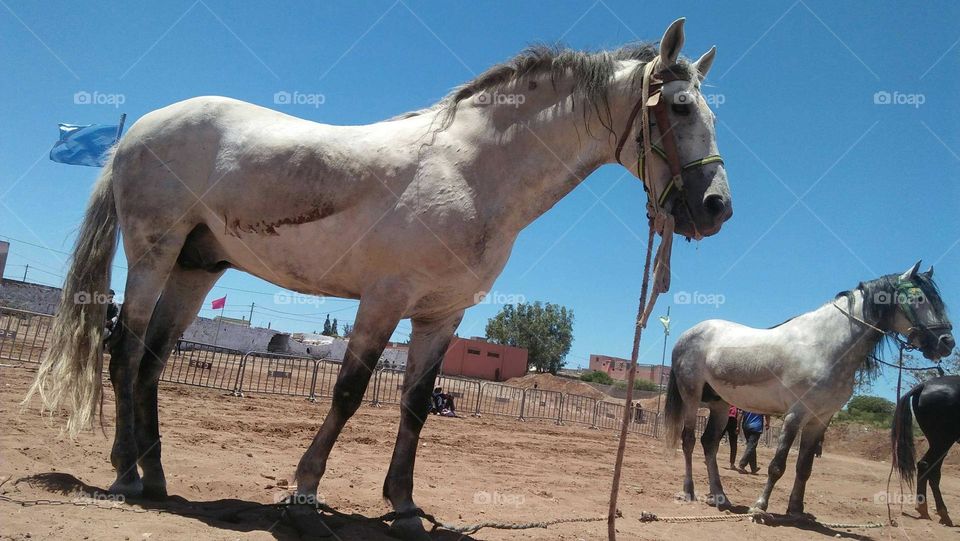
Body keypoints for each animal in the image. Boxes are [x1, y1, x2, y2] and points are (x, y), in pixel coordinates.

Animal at [26, 19, 736, 536]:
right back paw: (124, 475)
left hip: (195, 268)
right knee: (125, 353)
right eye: (678, 107)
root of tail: (136, 132)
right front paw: (305, 491)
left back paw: (155, 477)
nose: (716, 209)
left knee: (151, 364)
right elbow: (347, 392)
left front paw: (403, 503)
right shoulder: (383, 301)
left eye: (709, 114)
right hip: (153, 254)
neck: (472, 170)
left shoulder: (440, 315)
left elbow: (416, 405)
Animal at [668, 264, 952, 516]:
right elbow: (777, 465)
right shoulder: (796, 415)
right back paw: (689, 491)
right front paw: (759, 507)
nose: (947, 343)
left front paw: (796, 510)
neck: (825, 347)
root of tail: (688, 334)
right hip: (691, 397)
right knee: (689, 440)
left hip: (719, 404)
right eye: (918, 298)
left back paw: (720, 496)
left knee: (709, 444)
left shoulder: (820, 419)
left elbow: (804, 467)